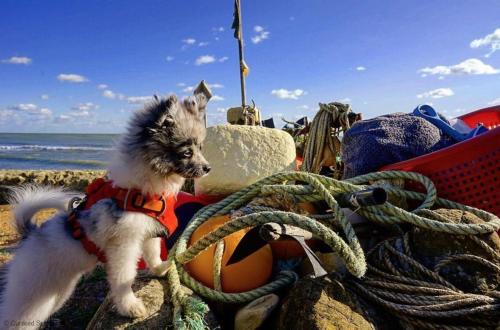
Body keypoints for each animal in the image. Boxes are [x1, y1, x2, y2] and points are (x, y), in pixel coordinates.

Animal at [0, 89, 211, 328]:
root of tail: (30, 234)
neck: (139, 190)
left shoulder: (147, 233)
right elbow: (123, 279)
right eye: (186, 152)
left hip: (55, 295)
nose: (208, 168)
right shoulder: (124, 245)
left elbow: (153, 255)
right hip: (30, 294)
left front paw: (160, 269)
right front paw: (130, 307)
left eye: (200, 148)